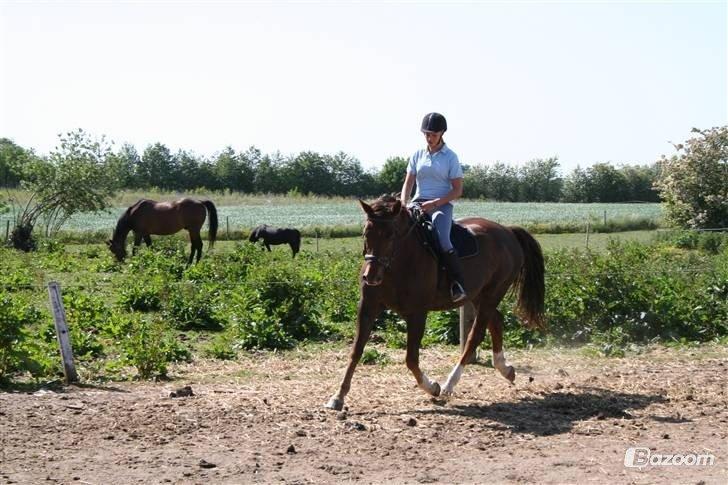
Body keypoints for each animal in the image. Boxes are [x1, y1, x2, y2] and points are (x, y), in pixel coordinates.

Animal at [328, 195, 544, 410]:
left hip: (492, 294)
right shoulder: (367, 307)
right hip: (477, 296)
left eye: (391, 235)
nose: (371, 276)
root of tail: (507, 231)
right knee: (496, 321)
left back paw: (450, 383)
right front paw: (338, 396)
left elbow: (411, 359)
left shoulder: (417, 314)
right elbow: (356, 351)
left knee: (475, 335)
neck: (397, 264)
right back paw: (505, 369)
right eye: (366, 232)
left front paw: (432, 387)